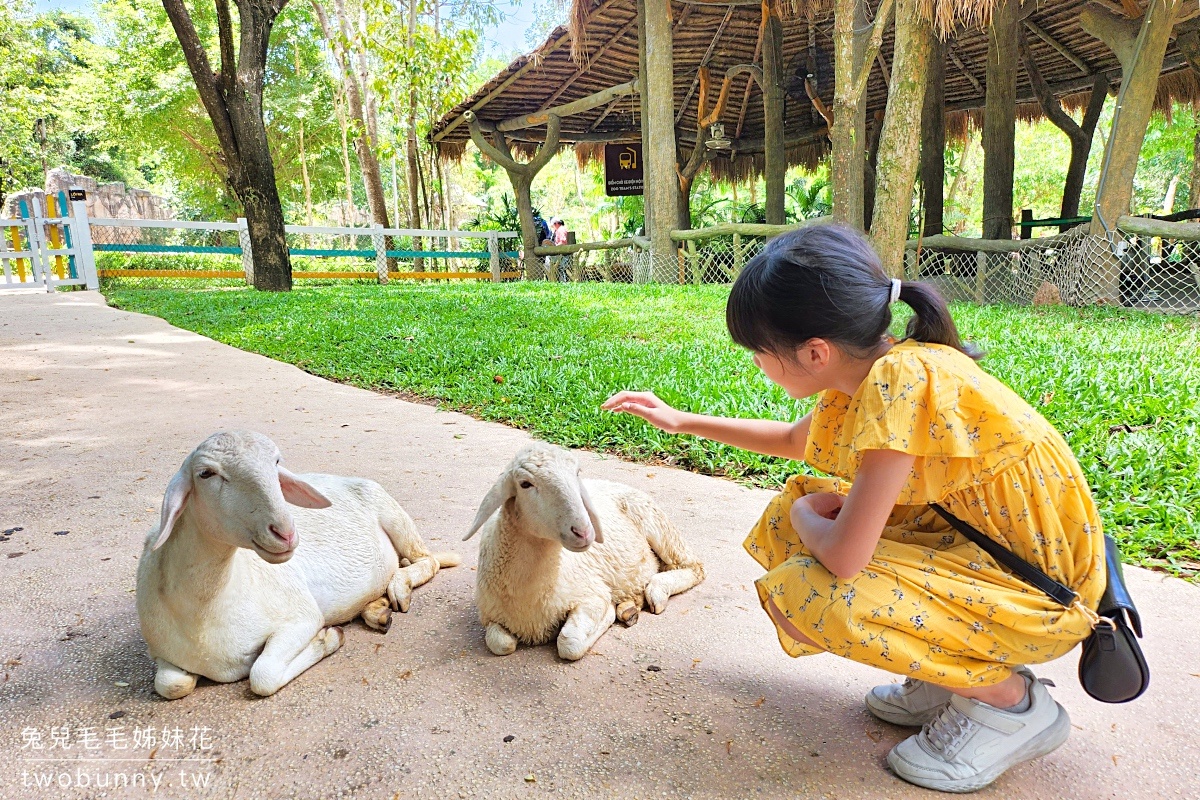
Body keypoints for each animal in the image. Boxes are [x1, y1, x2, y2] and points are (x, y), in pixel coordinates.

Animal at [136, 431, 458, 700]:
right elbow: (171, 685)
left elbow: (262, 675)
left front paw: (328, 638)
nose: (286, 532)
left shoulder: (301, 617)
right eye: (206, 473)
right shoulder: (161, 652)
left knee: (426, 559)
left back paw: (398, 590)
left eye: (276, 462)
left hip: (391, 511)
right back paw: (377, 610)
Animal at [460, 441, 700, 662]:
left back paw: (656, 591)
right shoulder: (490, 616)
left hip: (657, 523)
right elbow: (501, 644)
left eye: (577, 473)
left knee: (693, 566)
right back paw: (630, 607)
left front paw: (609, 614)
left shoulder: (592, 594)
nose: (584, 531)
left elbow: (569, 644)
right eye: (525, 484)